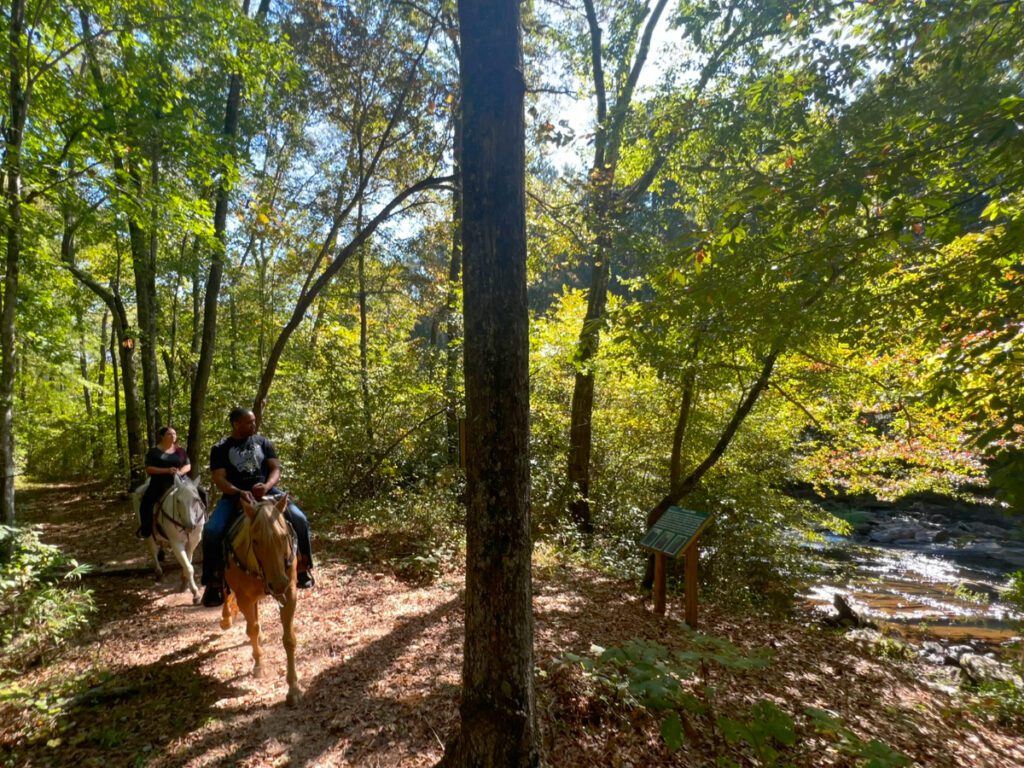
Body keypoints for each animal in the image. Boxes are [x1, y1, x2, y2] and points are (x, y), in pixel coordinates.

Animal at [135, 475, 208, 606]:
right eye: (178, 501)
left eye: (196, 499)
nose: (190, 526)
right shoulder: (177, 543)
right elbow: (189, 567)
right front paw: (196, 594)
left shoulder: (193, 541)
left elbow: (188, 562)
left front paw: (184, 581)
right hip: (148, 533)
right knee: (153, 550)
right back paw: (158, 572)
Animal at [222, 495, 301, 708]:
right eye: (255, 541)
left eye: (283, 536)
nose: (278, 583)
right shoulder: (244, 598)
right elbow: (252, 629)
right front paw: (258, 664)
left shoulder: (289, 592)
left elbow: (288, 639)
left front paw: (293, 689)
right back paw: (225, 619)